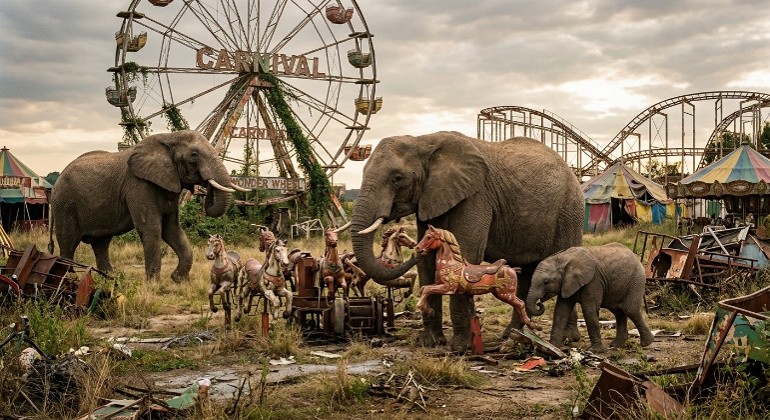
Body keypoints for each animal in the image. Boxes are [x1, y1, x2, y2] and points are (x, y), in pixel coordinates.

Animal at [49, 130, 250, 281]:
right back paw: (69, 278)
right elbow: (152, 228)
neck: (169, 137)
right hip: (64, 204)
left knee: (101, 243)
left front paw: (178, 280)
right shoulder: (138, 185)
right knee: (68, 242)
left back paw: (110, 278)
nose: (205, 186)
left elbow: (172, 229)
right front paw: (153, 283)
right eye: (194, 155)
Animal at [350, 131, 584, 351]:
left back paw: (566, 339)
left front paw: (460, 348)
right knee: (525, 274)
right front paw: (428, 342)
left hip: (570, 211)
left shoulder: (475, 196)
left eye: (397, 178)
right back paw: (512, 336)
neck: (423, 140)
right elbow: (427, 265)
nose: (413, 249)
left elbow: (468, 252)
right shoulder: (430, 198)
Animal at [526, 242, 655, 353]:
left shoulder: (593, 281)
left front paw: (595, 351)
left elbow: (589, 311)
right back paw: (617, 345)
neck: (562, 259)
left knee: (630, 309)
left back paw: (647, 343)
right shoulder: (567, 284)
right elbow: (561, 311)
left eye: (546, 282)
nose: (539, 304)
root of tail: (635, 257)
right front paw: (552, 347)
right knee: (619, 312)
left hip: (636, 280)